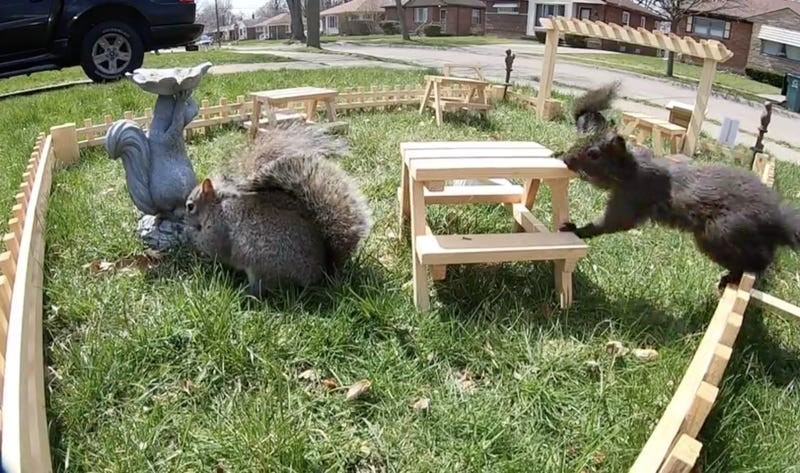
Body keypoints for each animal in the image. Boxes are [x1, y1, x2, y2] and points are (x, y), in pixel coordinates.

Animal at [183, 123, 372, 297]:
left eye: (190, 206)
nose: (183, 221)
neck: (215, 206)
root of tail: (321, 276)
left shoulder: (219, 229)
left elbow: (213, 247)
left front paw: (191, 235)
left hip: (260, 263)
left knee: (262, 287)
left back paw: (245, 293)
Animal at [557, 127, 800, 290]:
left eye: (594, 154)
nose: (566, 158)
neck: (631, 170)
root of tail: (776, 219)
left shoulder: (632, 197)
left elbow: (612, 223)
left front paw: (576, 229)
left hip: (719, 234)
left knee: (761, 259)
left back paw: (735, 277)